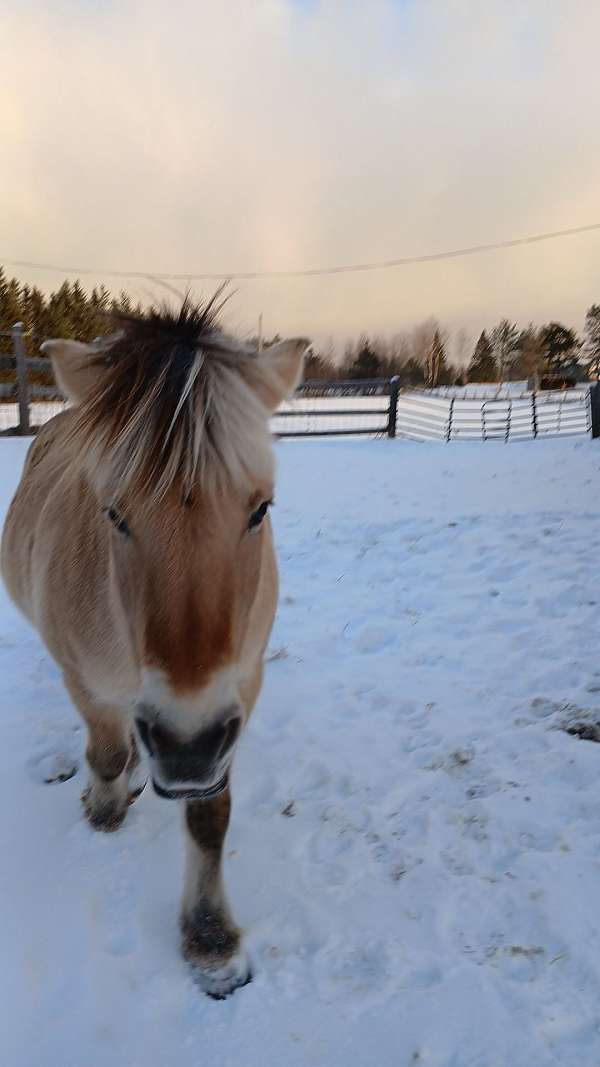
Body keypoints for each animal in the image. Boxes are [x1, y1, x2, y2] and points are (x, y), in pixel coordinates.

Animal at [2, 300, 305, 998]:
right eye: (114, 514)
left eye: (261, 509)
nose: (185, 748)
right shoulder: (87, 680)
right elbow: (109, 752)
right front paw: (104, 805)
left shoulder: (236, 692)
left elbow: (209, 813)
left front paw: (211, 939)